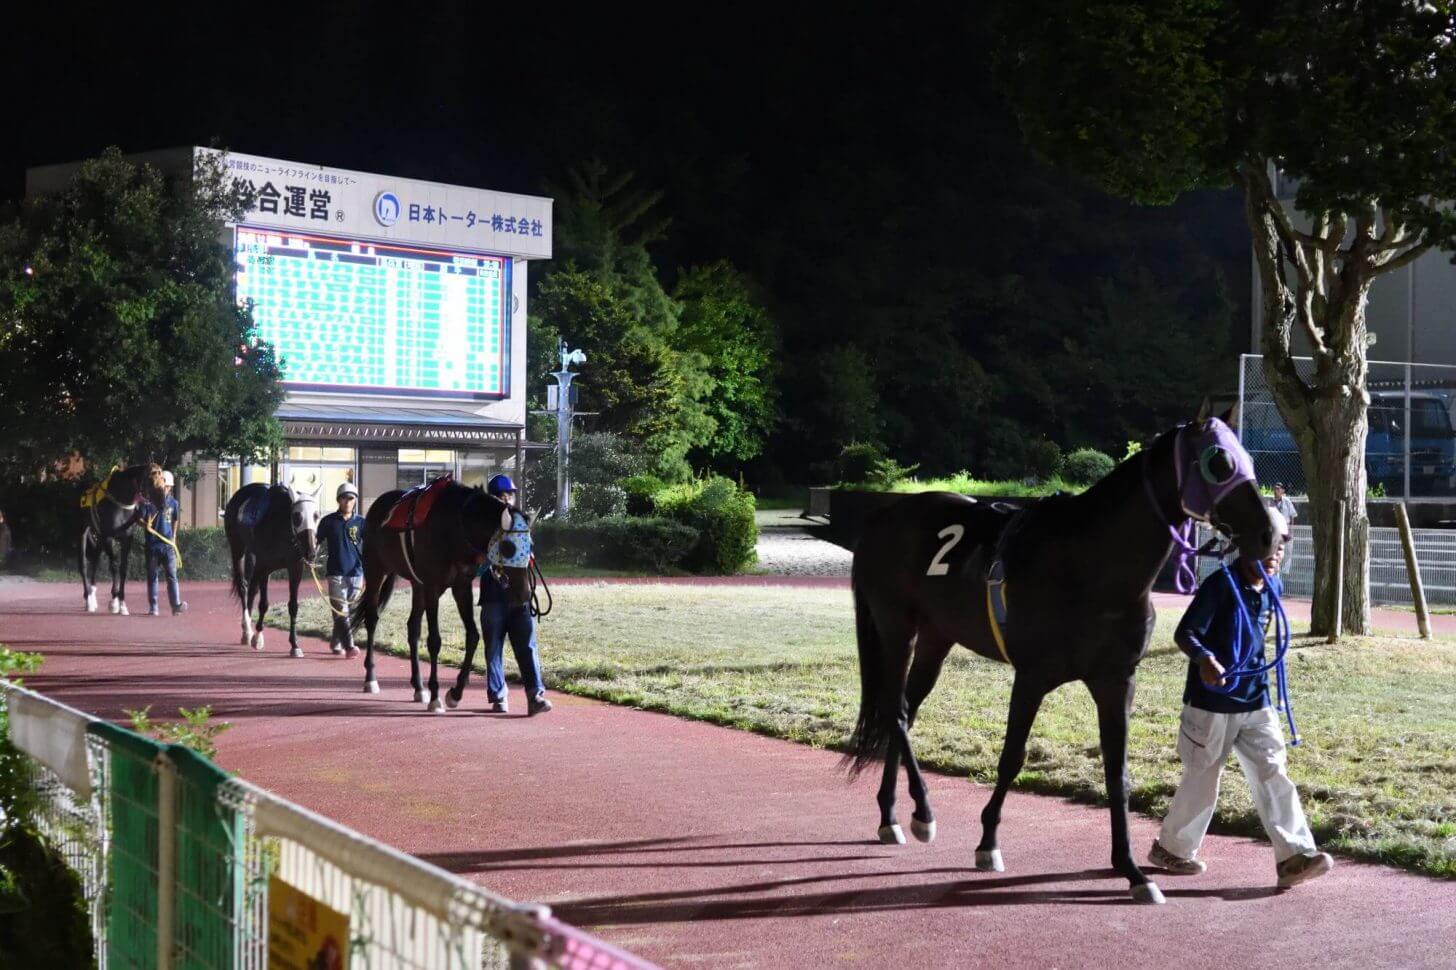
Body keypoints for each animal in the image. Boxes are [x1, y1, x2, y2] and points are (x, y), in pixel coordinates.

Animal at [79, 463, 165, 611]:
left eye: (164, 480)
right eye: (151, 481)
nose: (163, 504)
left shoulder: (126, 538)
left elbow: (123, 568)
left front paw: (122, 603)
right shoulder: (108, 537)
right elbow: (114, 565)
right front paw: (114, 601)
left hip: (98, 537)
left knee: (94, 562)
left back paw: (93, 597)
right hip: (83, 533)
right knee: (83, 565)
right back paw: (88, 599)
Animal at [221, 480, 318, 652]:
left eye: (316, 515)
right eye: (297, 516)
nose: (311, 552)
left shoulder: (295, 568)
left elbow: (293, 605)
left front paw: (294, 644)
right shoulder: (264, 566)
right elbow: (264, 604)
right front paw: (257, 637)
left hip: (252, 555)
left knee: (252, 589)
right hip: (238, 548)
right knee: (243, 587)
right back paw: (247, 630)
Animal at [850, 410, 1269, 903]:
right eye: (1219, 462)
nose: (1271, 531)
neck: (1089, 565)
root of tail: (882, 518)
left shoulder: (1116, 680)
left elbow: (1117, 772)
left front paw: (1132, 870)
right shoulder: (1032, 676)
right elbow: (1012, 757)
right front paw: (988, 843)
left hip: (937, 636)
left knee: (905, 712)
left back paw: (892, 815)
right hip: (896, 627)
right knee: (895, 713)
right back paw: (923, 813)